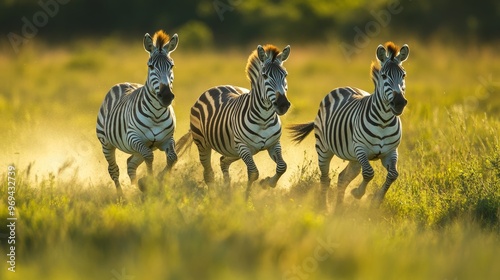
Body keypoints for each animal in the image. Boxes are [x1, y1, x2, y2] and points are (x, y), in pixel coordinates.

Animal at [95, 29, 180, 195]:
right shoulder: (134, 138)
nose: (166, 96)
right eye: (151, 66)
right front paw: (150, 183)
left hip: (142, 147)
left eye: (172, 65)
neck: (156, 115)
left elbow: (173, 157)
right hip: (106, 143)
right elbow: (149, 157)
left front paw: (157, 181)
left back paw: (135, 187)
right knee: (114, 170)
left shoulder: (167, 139)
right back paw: (122, 196)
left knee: (130, 163)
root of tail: (123, 83)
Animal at [177, 44, 292, 198]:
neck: (264, 118)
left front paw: (267, 183)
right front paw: (246, 197)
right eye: (265, 76)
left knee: (223, 161)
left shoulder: (274, 144)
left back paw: (227, 191)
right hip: (204, 144)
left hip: (232, 150)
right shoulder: (243, 146)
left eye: (285, 75)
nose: (283, 104)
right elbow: (253, 172)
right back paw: (214, 196)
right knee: (208, 173)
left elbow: (282, 166)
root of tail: (215, 87)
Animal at [288, 41, 408, 208]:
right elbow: (369, 173)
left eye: (403, 75)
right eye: (384, 76)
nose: (399, 103)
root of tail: (342, 87)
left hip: (354, 158)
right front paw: (358, 193)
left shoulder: (391, 152)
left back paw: (338, 208)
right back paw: (324, 207)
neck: (383, 121)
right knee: (325, 178)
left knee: (342, 178)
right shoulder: (361, 148)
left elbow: (393, 174)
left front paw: (376, 199)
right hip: (324, 150)